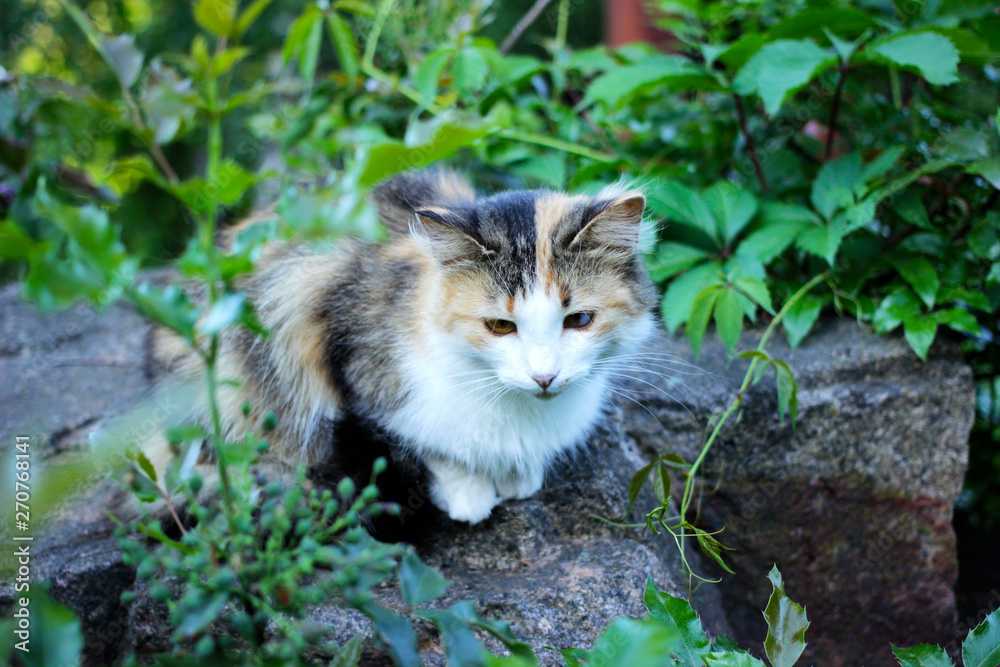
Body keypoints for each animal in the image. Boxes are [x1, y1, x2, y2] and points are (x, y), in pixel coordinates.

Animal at [143, 170, 656, 536]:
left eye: (579, 320)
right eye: (500, 326)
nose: (544, 377)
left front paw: (519, 475)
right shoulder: (354, 359)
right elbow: (426, 443)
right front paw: (469, 492)